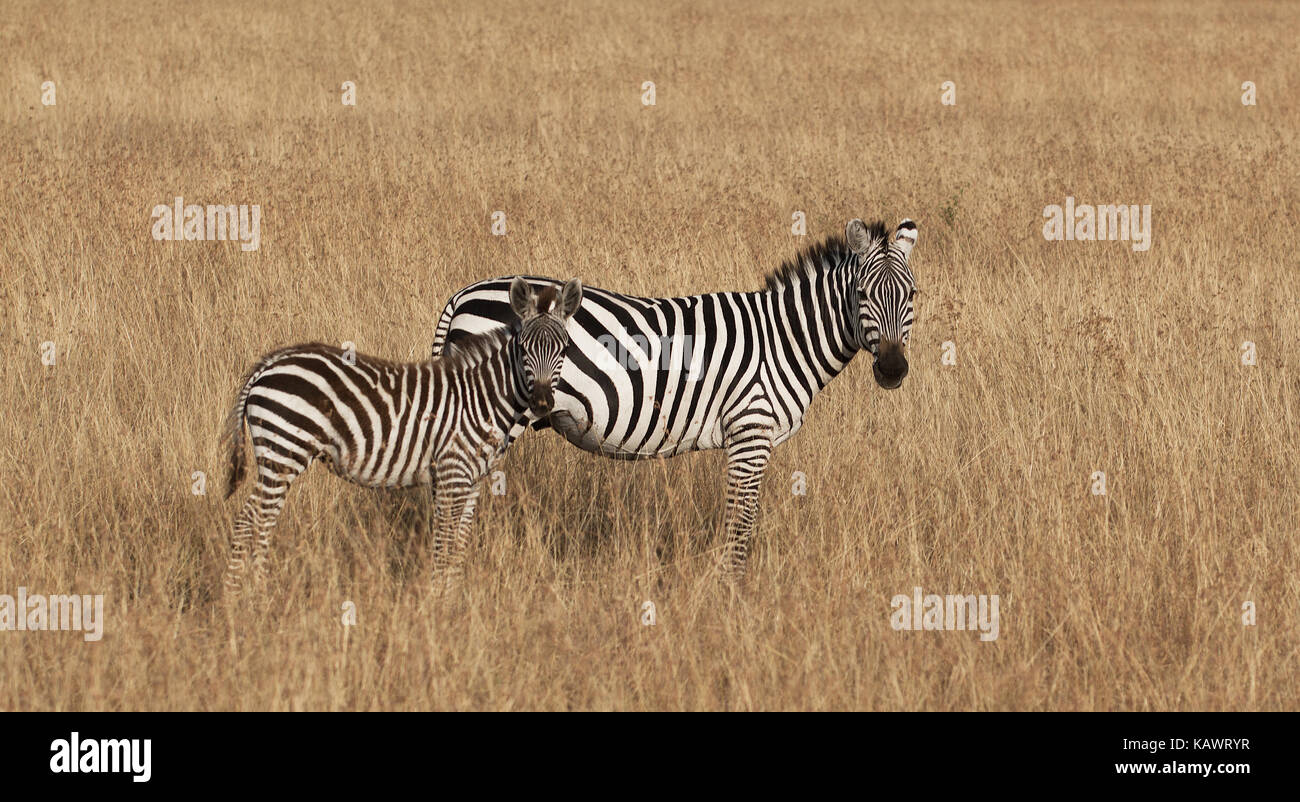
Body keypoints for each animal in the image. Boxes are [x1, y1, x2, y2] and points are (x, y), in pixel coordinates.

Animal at [223, 275, 585, 595]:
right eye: (523, 349)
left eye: (564, 349)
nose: (542, 402)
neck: (483, 397)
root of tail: (270, 364)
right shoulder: (452, 473)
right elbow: (444, 542)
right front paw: (438, 602)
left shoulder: (473, 482)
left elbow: (459, 543)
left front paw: (451, 600)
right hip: (283, 450)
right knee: (250, 522)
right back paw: (245, 597)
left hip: (279, 453)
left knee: (257, 521)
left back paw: (253, 591)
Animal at [428, 218, 915, 574]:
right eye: (863, 294)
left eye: (912, 295)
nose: (893, 370)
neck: (784, 338)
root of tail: (462, 295)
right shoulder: (750, 432)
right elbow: (741, 523)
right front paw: (731, 594)